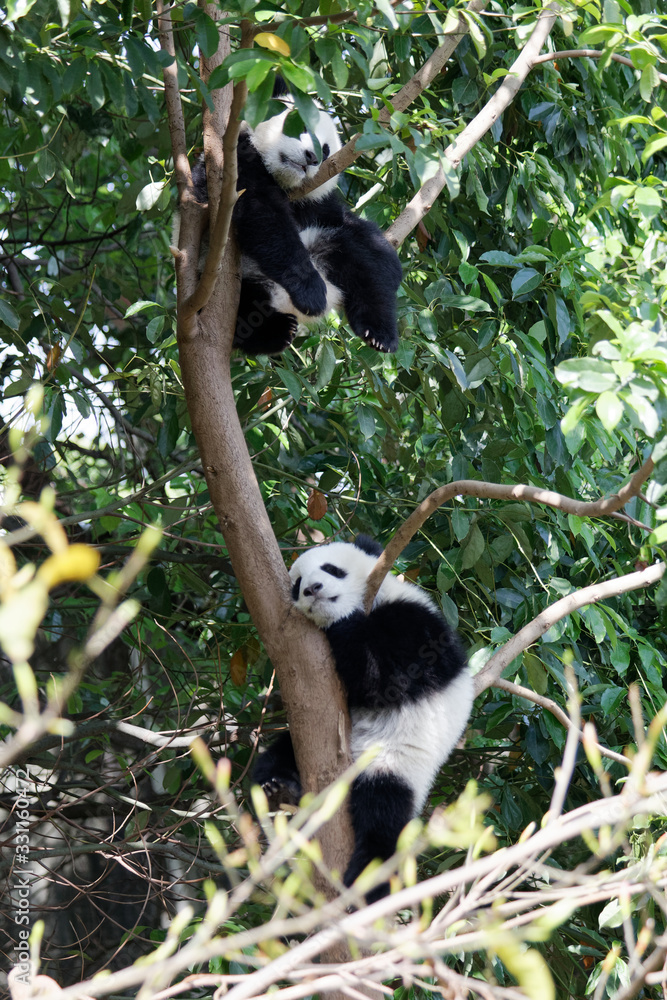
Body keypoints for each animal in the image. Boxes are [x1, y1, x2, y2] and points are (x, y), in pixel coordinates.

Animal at [189, 86, 403, 355]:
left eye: (325, 150)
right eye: (299, 126)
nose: (311, 157)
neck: (282, 181)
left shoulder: (315, 202)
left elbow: (355, 230)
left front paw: (389, 261)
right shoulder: (233, 167)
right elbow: (265, 218)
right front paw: (310, 293)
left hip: (323, 245)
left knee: (360, 266)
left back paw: (379, 334)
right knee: (246, 312)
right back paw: (278, 331)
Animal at [253, 534, 474, 904]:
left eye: (332, 569)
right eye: (297, 585)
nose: (313, 589)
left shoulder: (416, 624)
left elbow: (386, 680)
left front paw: (339, 616)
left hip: (395, 761)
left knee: (382, 816)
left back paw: (367, 882)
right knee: (276, 756)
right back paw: (279, 790)